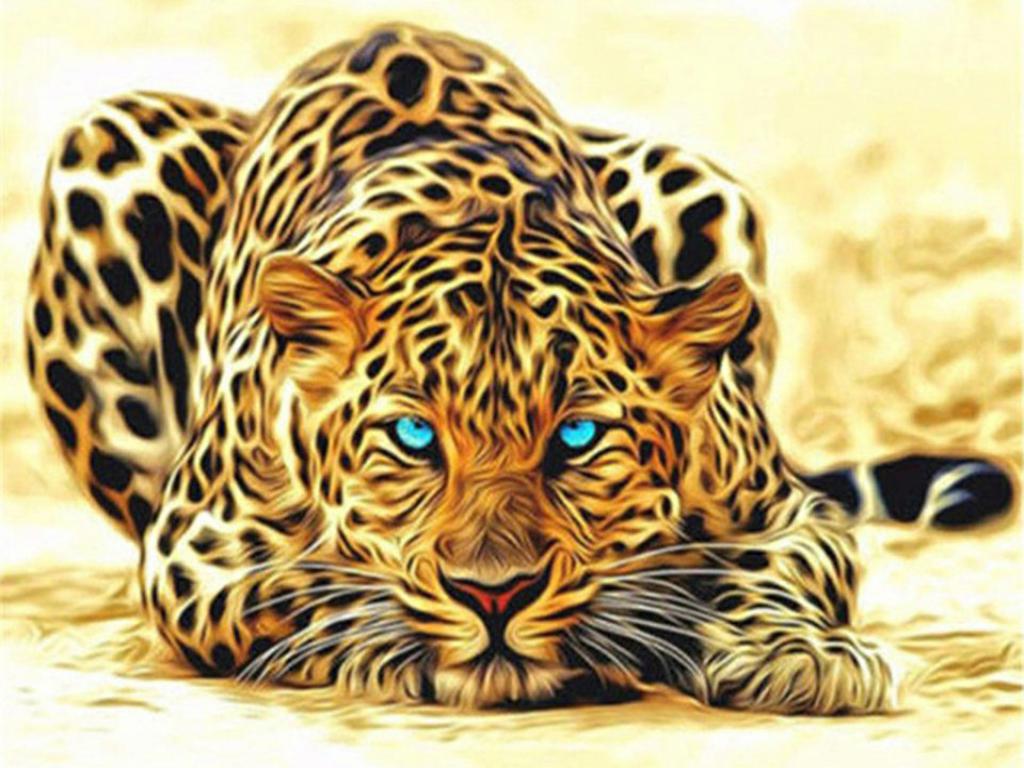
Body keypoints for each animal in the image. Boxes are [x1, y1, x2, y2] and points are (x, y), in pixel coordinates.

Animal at [24, 23, 1015, 714]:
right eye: (413, 435)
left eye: (577, 436)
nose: (493, 595)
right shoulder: (195, 547)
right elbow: (304, 587)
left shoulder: (786, 512)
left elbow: (762, 569)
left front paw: (796, 654)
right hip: (104, 143)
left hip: (699, 180)